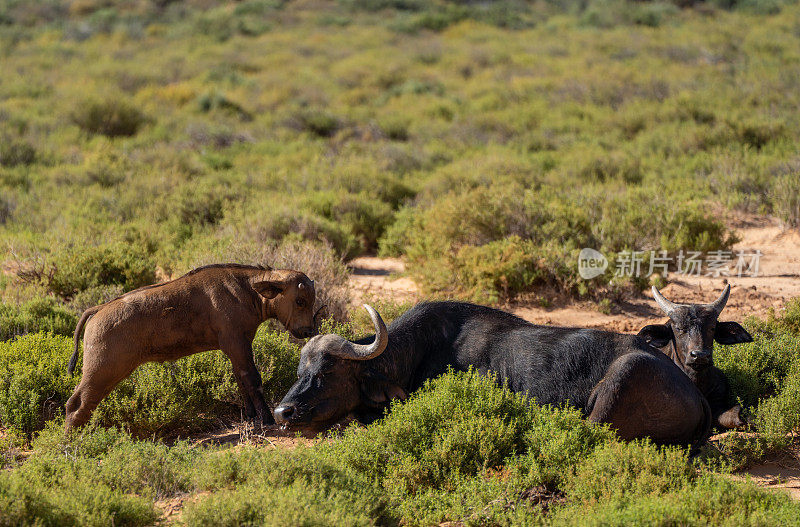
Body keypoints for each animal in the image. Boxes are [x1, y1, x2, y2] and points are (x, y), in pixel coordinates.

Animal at [276, 302, 712, 450]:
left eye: (327, 370)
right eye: (300, 371)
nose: (283, 412)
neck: (422, 351)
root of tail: (696, 395)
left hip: (626, 372)